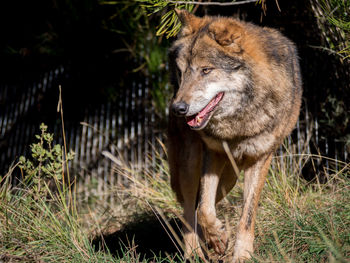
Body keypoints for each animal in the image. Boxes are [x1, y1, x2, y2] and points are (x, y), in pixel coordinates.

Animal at [168, 9, 302, 262]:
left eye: (206, 70)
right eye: (181, 73)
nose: (178, 108)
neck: (238, 125)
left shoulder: (260, 158)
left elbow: (246, 216)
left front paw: (241, 254)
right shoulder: (213, 153)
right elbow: (204, 210)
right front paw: (217, 238)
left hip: (229, 179)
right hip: (191, 165)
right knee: (190, 209)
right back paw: (195, 252)